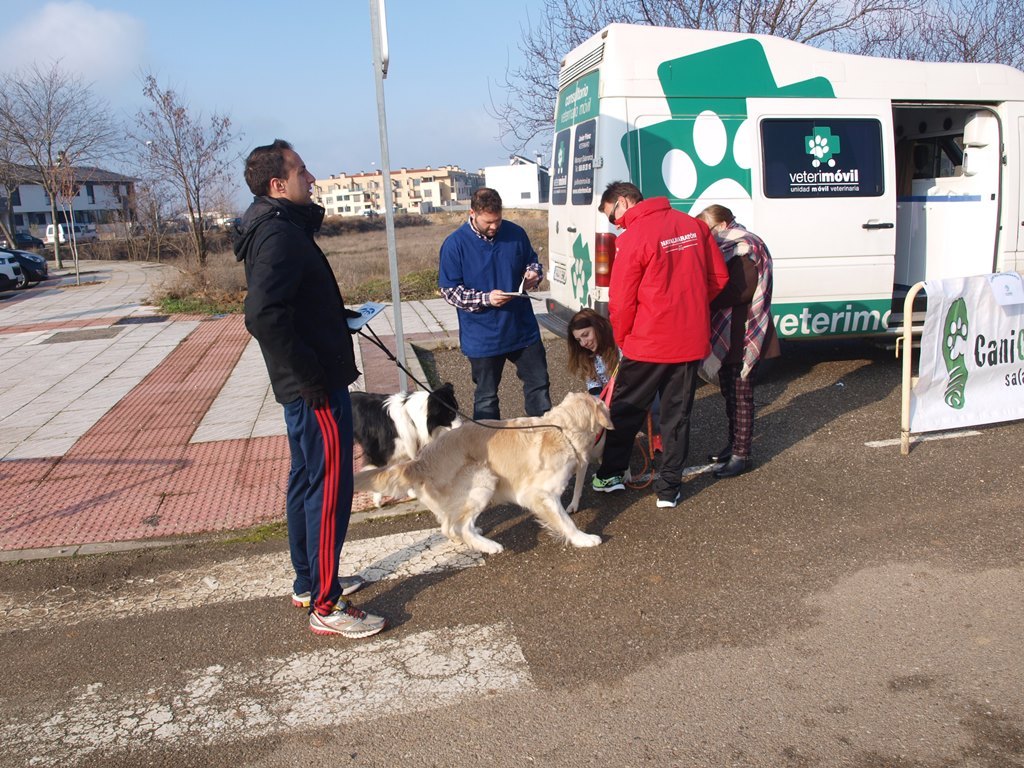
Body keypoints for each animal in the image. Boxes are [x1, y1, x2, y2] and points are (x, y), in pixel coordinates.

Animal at [354, 391, 613, 554]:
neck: (562, 429)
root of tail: (420, 461)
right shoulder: (539, 494)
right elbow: (566, 521)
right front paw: (584, 539)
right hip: (482, 476)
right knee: (459, 526)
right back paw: (489, 546)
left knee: (449, 525)